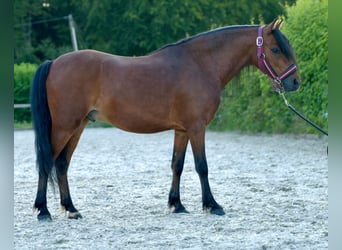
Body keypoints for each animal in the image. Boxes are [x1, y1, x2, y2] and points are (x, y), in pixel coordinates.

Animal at [31, 18, 300, 220]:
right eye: (275, 49)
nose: (294, 82)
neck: (200, 64)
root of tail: (54, 62)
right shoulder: (197, 128)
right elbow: (202, 166)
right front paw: (212, 205)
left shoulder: (182, 130)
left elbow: (177, 165)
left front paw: (176, 204)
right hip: (64, 127)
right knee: (47, 162)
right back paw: (43, 211)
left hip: (78, 127)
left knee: (62, 164)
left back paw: (71, 209)